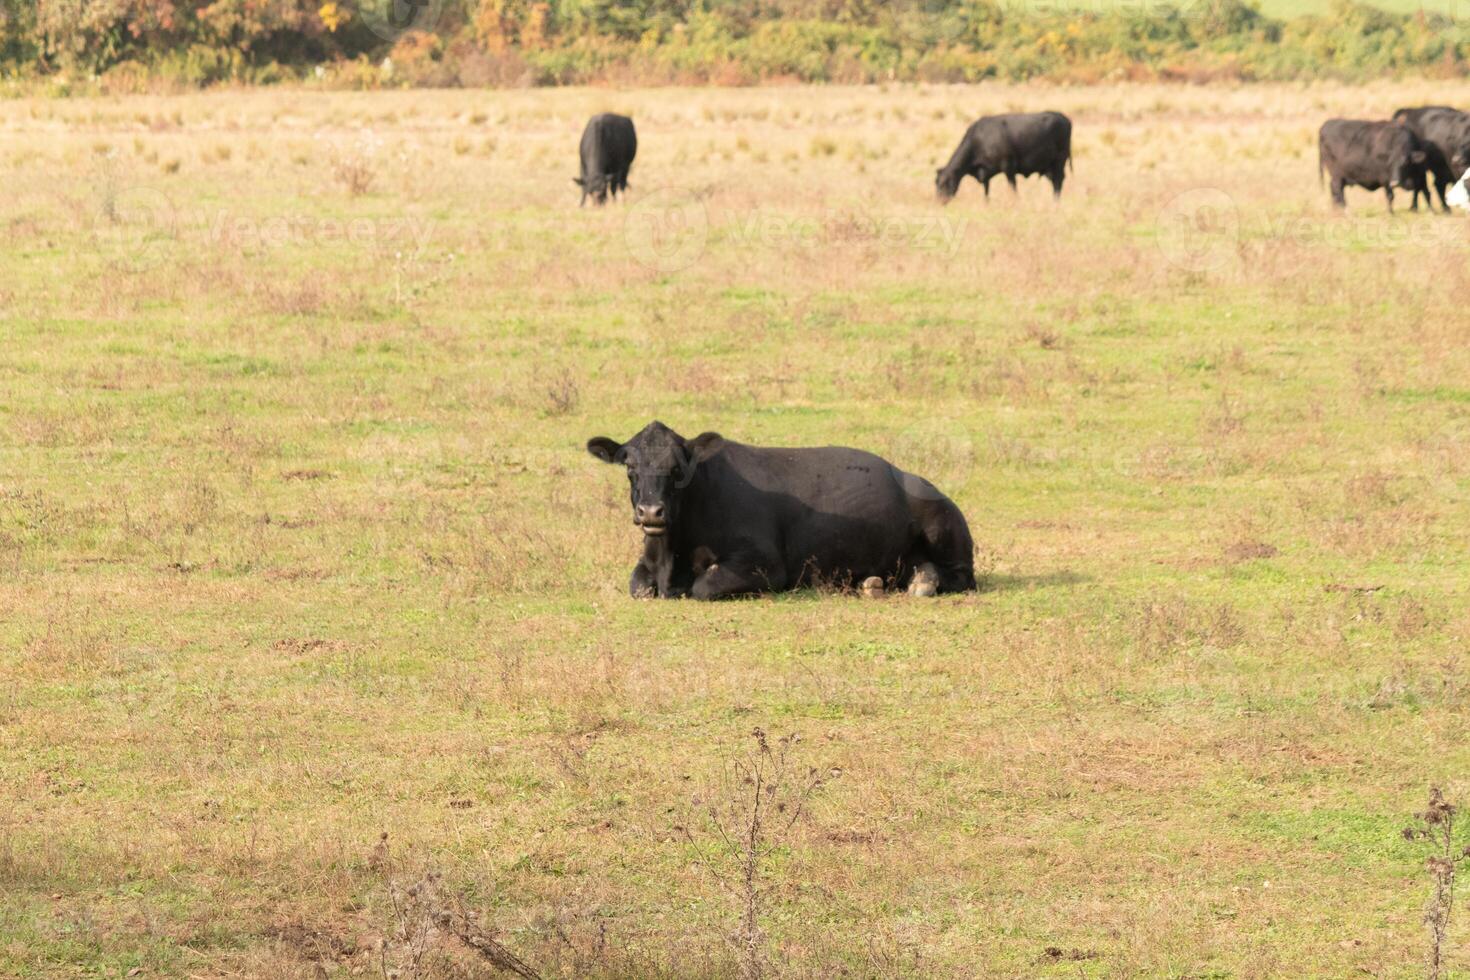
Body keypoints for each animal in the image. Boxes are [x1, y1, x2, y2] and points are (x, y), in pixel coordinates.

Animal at [585, 420, 976, 599]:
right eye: (629, 467)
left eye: (678, 468)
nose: (651, 512)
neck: (670, 557)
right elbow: (638, 584)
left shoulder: (765, 564)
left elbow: (703, 586)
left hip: (945, 526)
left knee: (961, 577)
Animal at [934, 111, 1076, 202]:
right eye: (936, 184)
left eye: (943, 184)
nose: (940, 201)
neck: (980, 139)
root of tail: (1065, 118)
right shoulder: (986, 173)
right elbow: (986, 191)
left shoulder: (1008, 167)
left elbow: (1013, 187)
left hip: (1059, 161)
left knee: (1058, 181)